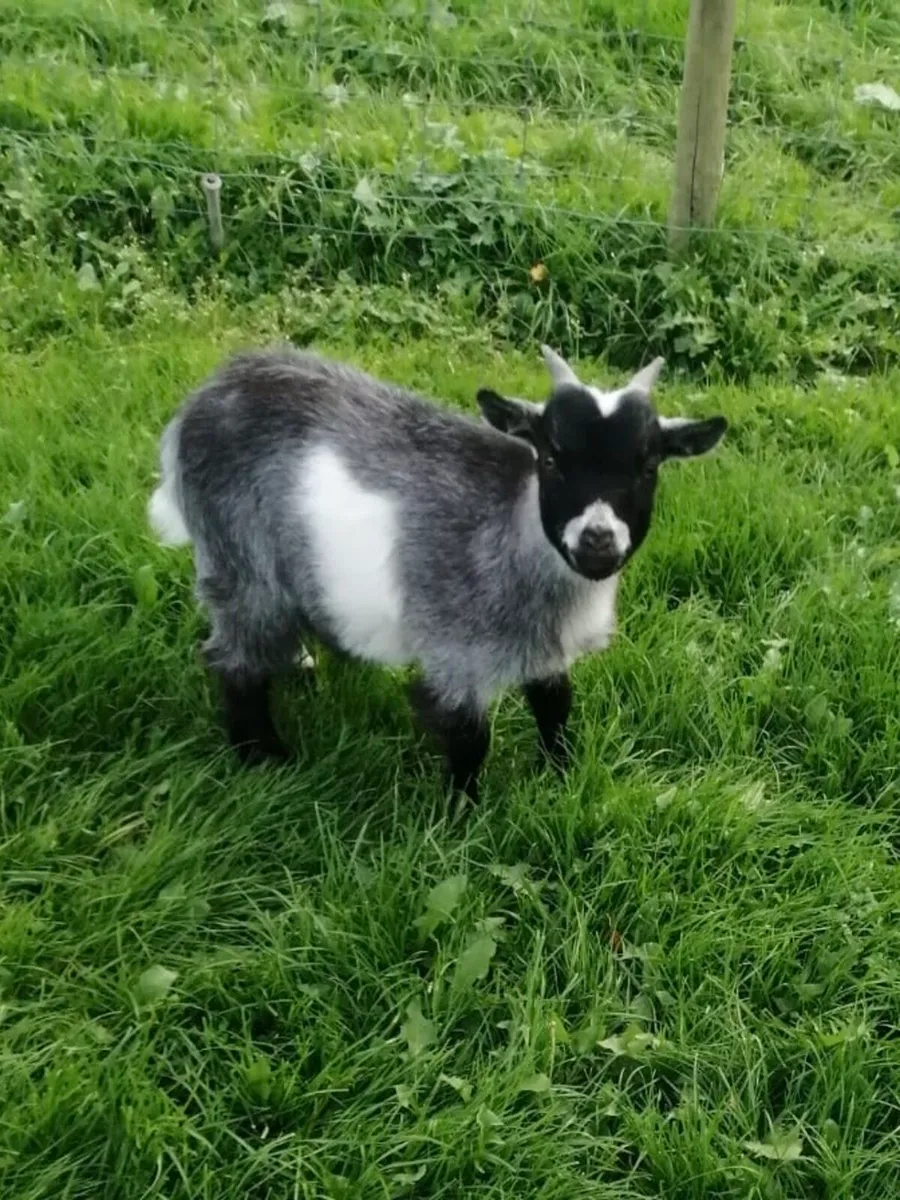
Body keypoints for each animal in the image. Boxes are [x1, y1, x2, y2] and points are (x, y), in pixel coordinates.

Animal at [148, 345, 727, 799]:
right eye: (550, 459)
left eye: (647, 467)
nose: (597, 540)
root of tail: (201, 401)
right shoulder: (455, 653)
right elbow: (470, 740)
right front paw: (460, 818)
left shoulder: (544, 649)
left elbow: (555, 707)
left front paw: (560, 776)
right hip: (239, 559)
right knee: (234, 661)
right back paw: (264, 757)